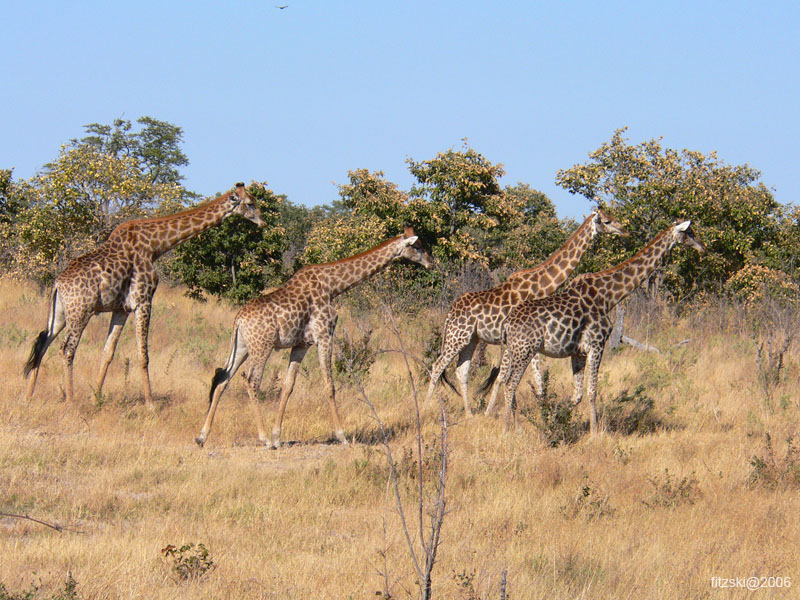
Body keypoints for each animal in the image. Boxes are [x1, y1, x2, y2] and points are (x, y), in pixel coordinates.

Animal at [21, 183, 266, 408]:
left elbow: (108, 352)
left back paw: (29, 395)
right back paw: (70, 401)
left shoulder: (121, 308)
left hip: (60, 314)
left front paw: (96, 397)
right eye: (250, 203)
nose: (263, 222)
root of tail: (57, 284)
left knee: (43, 344)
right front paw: (150, 404)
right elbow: (143, 354)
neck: (155, 246)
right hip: (80, 312)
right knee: (66, 350)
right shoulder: (143, 300)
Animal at [193, 226, 432, 450]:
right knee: (251, 382)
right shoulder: (325, 335)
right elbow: (329, 385)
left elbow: (288, 386)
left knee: (223, 380)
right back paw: (262, 439)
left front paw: (277, 436)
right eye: (418, 246)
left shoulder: (301, 344)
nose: (431, 263)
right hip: (262, 346)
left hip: (242, 347)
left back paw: (202, 437)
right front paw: (342, 436)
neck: (333, 286)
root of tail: (238, 320)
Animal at [422, 209, 628, 414]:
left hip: (471, 339)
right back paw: (428, 405)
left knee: (461, 371)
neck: (540, 286)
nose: (623, 230)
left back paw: (470, 414)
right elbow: (516, 378)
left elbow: (520, 378)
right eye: (607, 221)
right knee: (437, 365)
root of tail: (450, 313)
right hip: (457, 336)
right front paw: (504, 412)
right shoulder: (524, 339)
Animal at [478, 219, 704, 432]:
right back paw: (508, 429)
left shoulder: (578, 352)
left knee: (504, 380)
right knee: (509, 384)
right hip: (525, 350)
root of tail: (507, 323)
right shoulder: (597, 345)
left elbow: (577, 395)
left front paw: (555, 418)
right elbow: (592, 391)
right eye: (689, 232)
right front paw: (595, 433)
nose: (703, 247)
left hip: (515, 349)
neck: (608, 296)